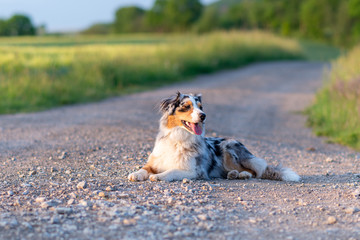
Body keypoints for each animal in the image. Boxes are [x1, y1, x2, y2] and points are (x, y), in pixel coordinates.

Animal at [128, 92, 300, 182]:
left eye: (201, 107)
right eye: (186, 106)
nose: (203, 116)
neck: (178, 138)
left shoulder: (195, 171)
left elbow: (172, 171)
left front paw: (158, 176)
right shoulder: (154, 162)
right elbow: (144, 168)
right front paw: (135, 174)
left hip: (228, 148)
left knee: (254, 170)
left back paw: (242, 174)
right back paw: (232, 174)